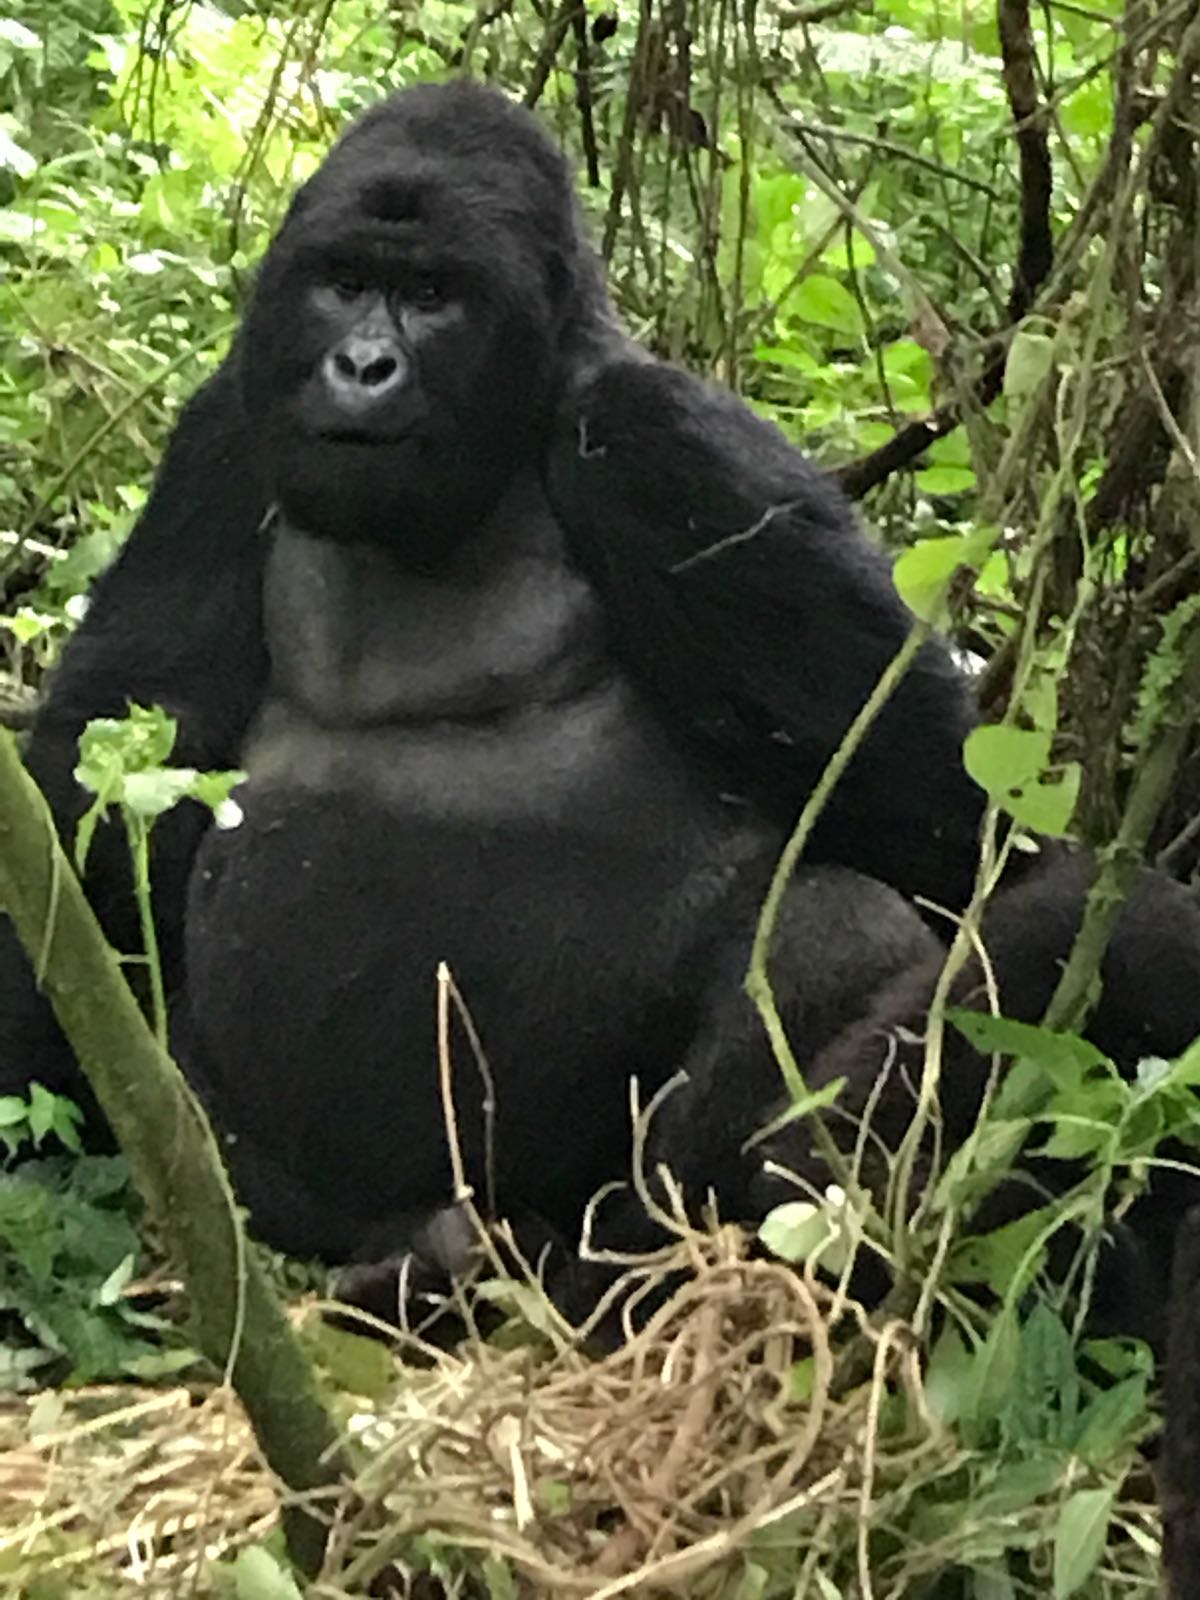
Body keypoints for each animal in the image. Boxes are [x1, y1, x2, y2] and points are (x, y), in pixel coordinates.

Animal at [2, 81, 1200, 1446]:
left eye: (433, 297)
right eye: (346, 282)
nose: (363, 366)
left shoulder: (665, 445)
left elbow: (963, 841)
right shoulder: (227, 436)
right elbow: (86, 801)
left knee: (829, 935)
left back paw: (545, 1279)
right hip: (268, 1203)